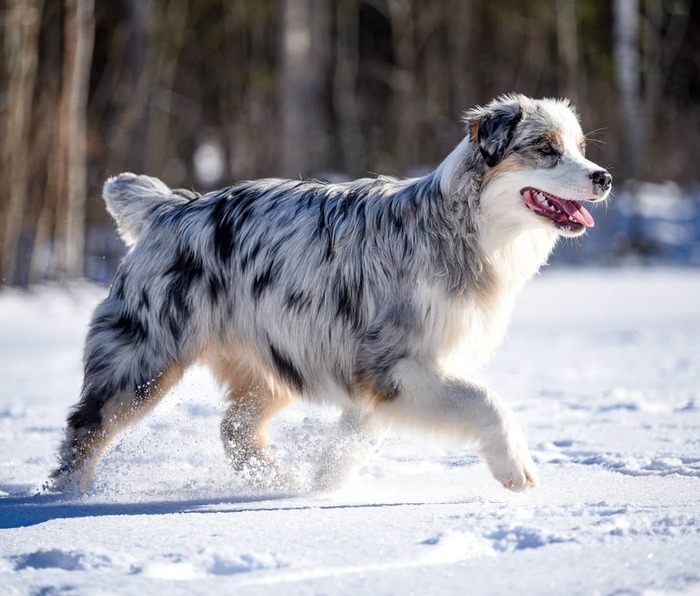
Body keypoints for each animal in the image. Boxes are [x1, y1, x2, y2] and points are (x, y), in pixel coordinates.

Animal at [50, 93, 608, 494]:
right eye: (546, 148)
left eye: (581, 147)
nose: (603, 177)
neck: (464, 228)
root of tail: (172, 207)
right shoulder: (393, 363)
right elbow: (485, 400)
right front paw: (516, 468)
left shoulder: (383, 376)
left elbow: (355, 438)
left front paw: (324, 487)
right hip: (144, 359)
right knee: (87, 427)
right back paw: (68, 498)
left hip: (274, 361)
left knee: (235, 430)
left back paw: (279, 483)